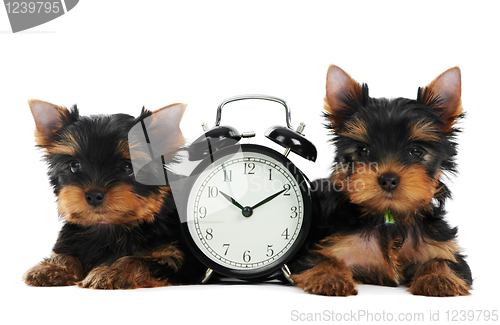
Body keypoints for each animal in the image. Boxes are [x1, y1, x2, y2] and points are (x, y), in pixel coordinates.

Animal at [23, 99, 207, 288]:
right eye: (74, 165)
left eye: (128, 167)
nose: (94, 195)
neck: (109, 226)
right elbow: (67, 254)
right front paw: (52, 268)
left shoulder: (173, 255)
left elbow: (137, 261)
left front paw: (112, 272)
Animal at [292, 64, 470, 294]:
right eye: (364, 151)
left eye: (416, 151)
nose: (388, 179)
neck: (389, 216)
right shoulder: (327, 246)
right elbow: (322, 259)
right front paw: (330, 277)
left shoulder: (442, 248)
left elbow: (444, 261)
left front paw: (438, 279)